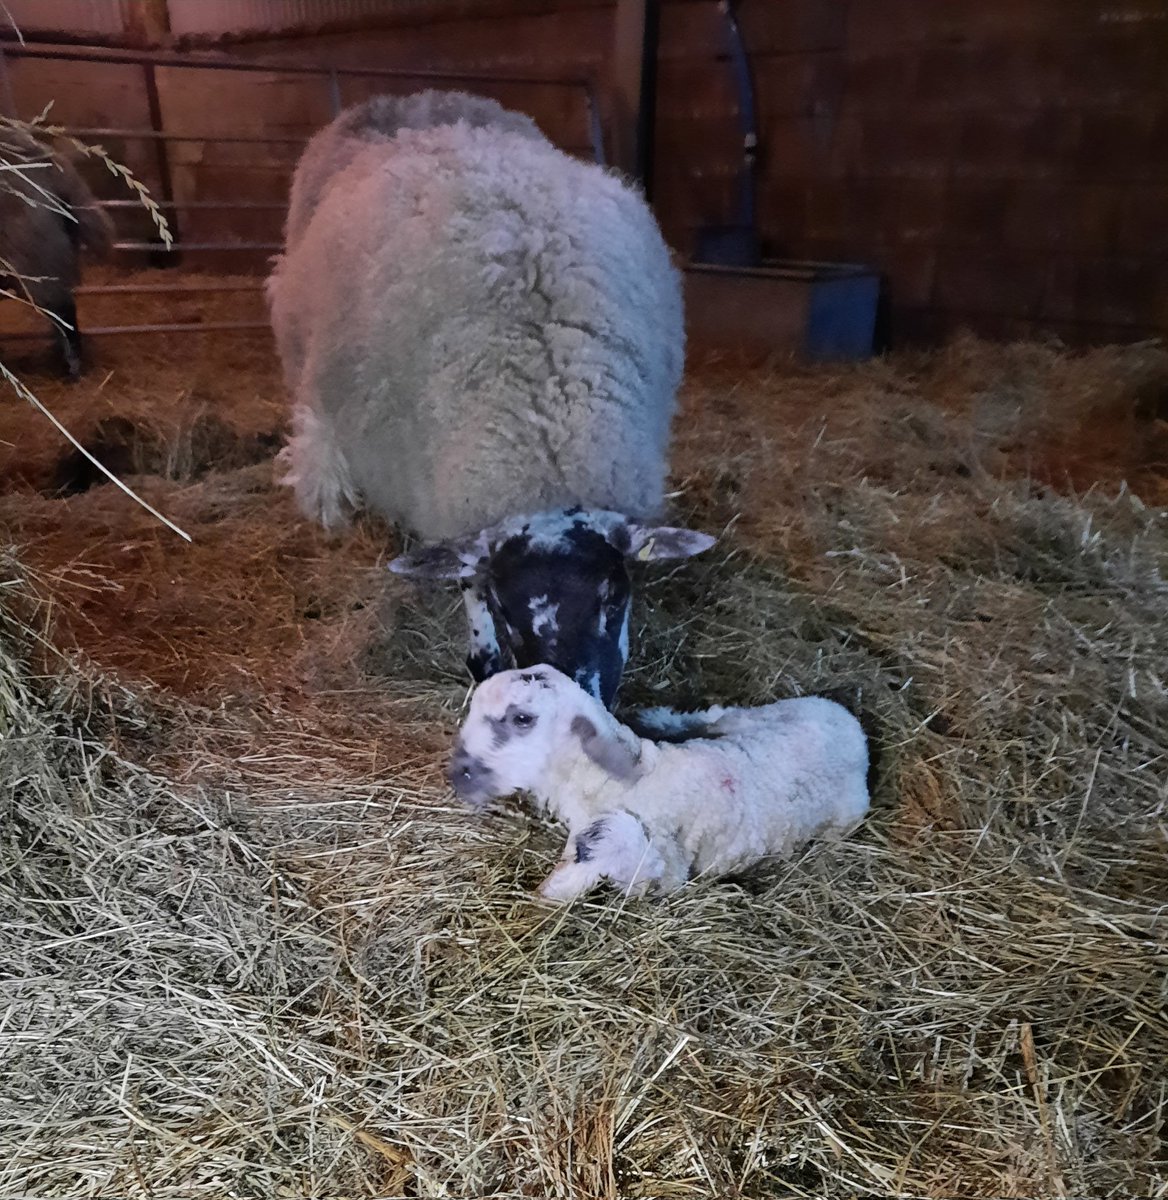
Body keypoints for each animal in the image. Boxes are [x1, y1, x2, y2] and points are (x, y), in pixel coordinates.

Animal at [266, 92, 713, 707]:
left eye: (615, 598)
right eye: (505, 607)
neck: (546, 425)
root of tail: (414, 102)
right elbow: (469, 584)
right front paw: (483, 660)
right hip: (310, 366)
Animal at [449, 665, 871, 902]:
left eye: (522, 718)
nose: (458, 774)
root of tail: (851, 724)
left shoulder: (668, 870)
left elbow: (611, 843)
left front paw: (552, 891)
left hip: (843, 819)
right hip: (750, 716)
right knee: (710, 717)